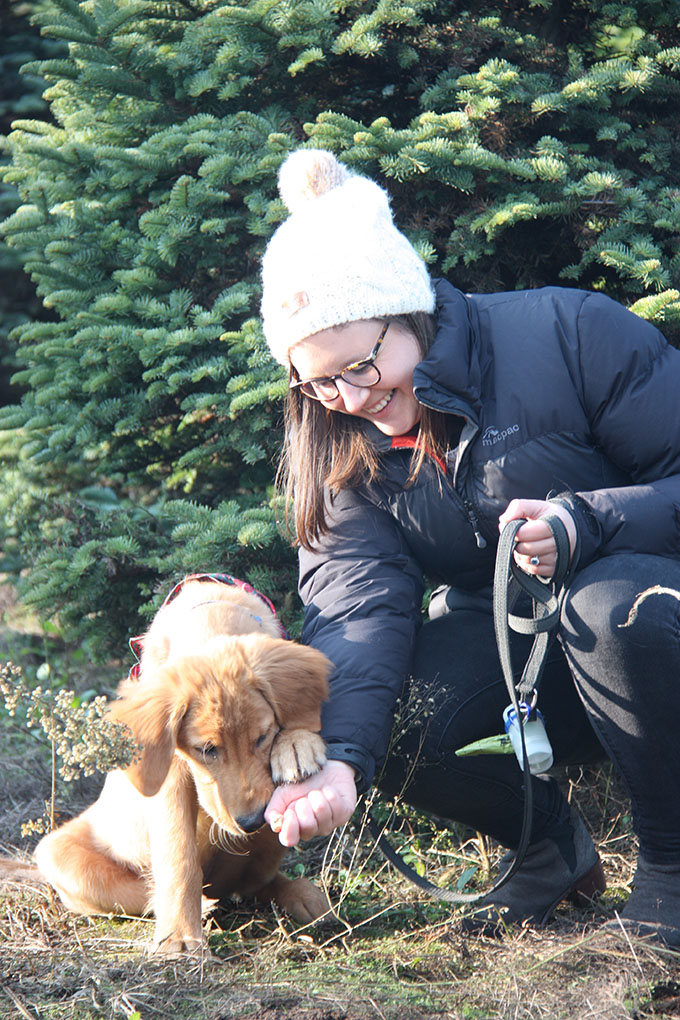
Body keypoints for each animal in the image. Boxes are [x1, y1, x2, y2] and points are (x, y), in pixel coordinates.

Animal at [30, 579, 334, 950]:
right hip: (60, 857)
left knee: (254, 886)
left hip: (269, 841)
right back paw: (203, 904)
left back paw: (302, 895)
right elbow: (179, 854)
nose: (252, 822)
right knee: (146, 892)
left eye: (263, 737)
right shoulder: (169, 775)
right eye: (206, 749)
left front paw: (296, 744)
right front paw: (179, 935)